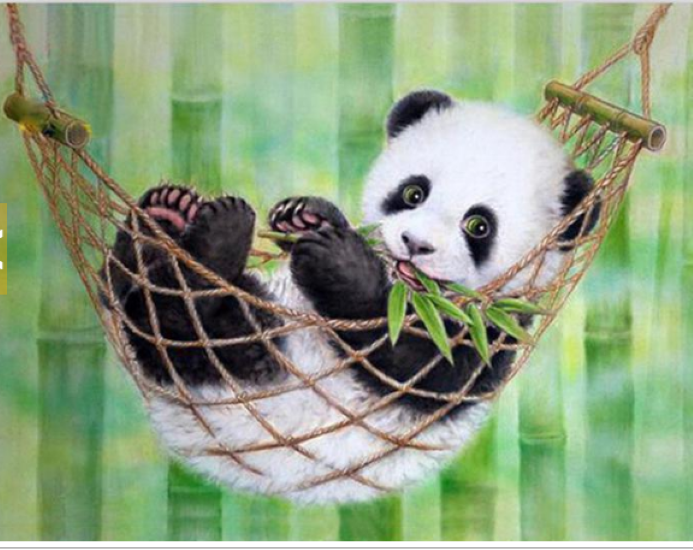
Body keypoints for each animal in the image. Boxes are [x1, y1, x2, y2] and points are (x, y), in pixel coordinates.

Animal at [104, 90, 597, 503]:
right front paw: (306, 217)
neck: (409, 293)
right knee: (127, 292)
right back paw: (164, 215)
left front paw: (338, 262)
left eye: (478, 225)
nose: (415, 244)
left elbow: (409, 364)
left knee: (191, 327)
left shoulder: (486, 339)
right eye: (413, 192)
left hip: (255, 364)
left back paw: (213, 241)